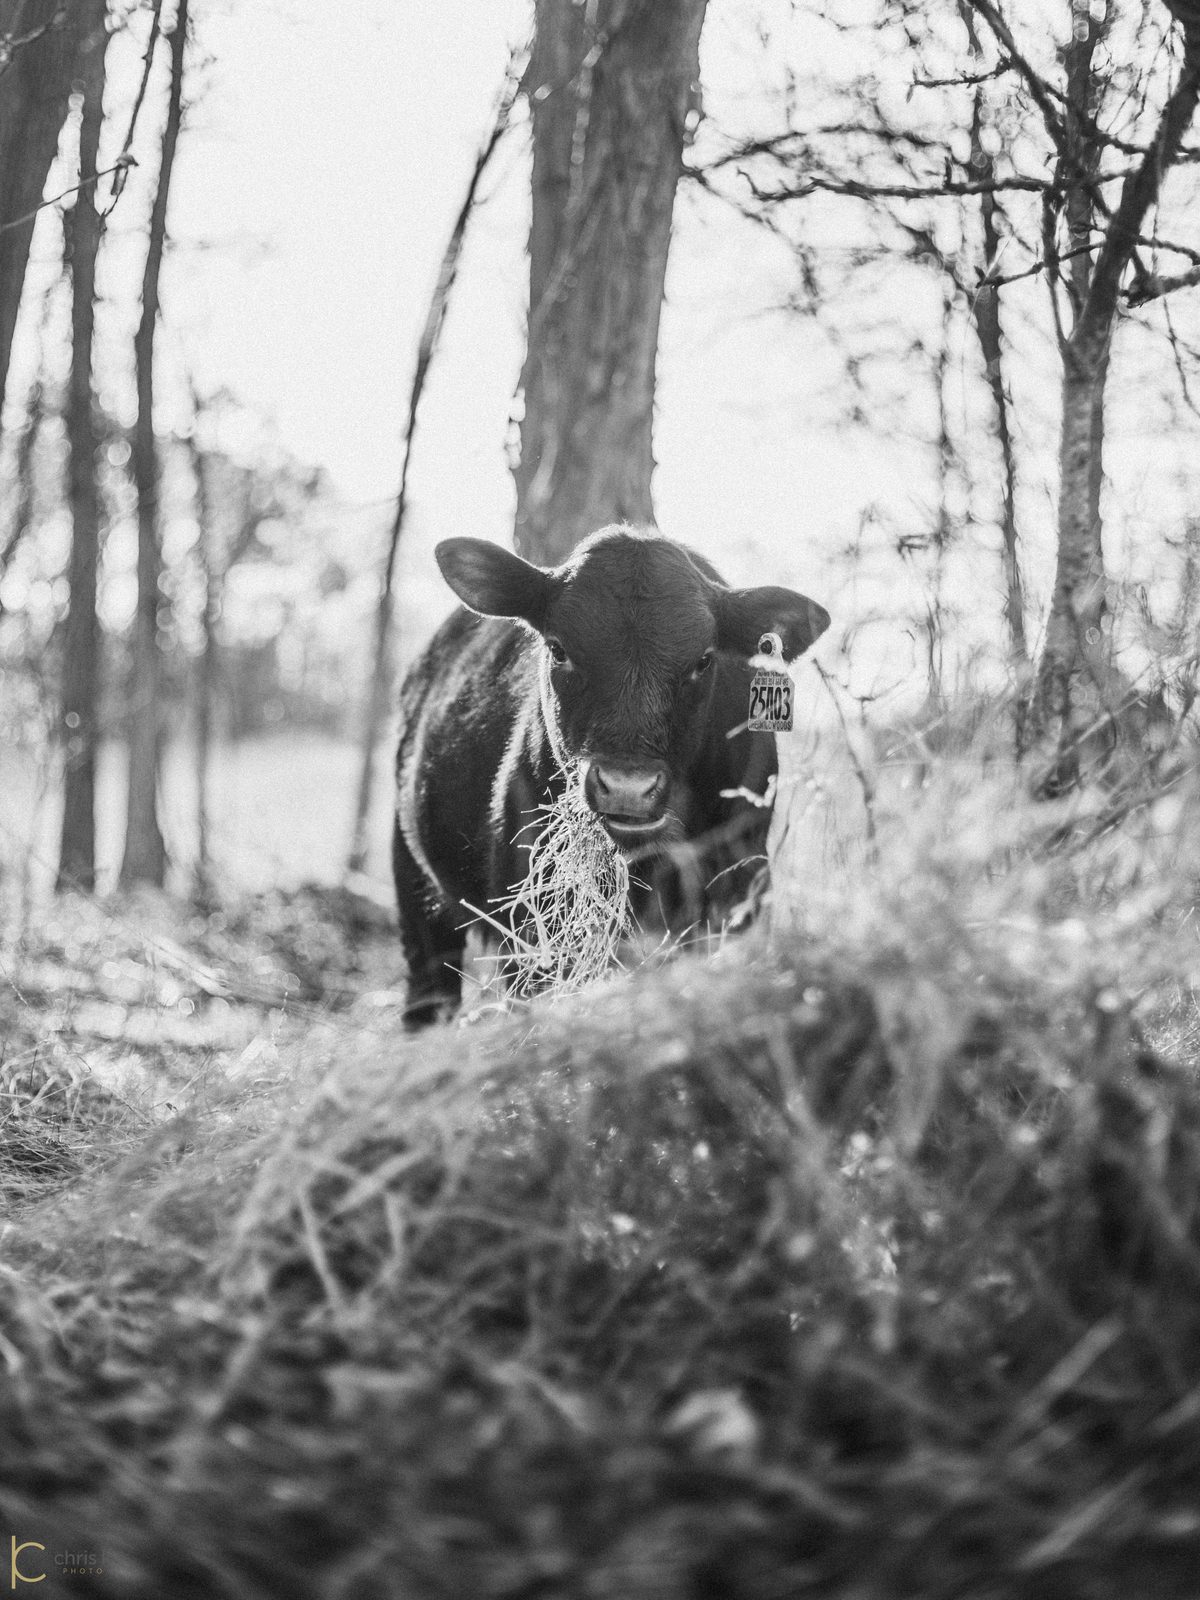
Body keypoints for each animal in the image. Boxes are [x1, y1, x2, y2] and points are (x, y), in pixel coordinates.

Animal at [393, 525, 830, 1026]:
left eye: (704, 660)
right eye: (558, 649)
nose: (628, 788)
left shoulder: (743, 883)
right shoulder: (533, 912)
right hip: (414, 881)